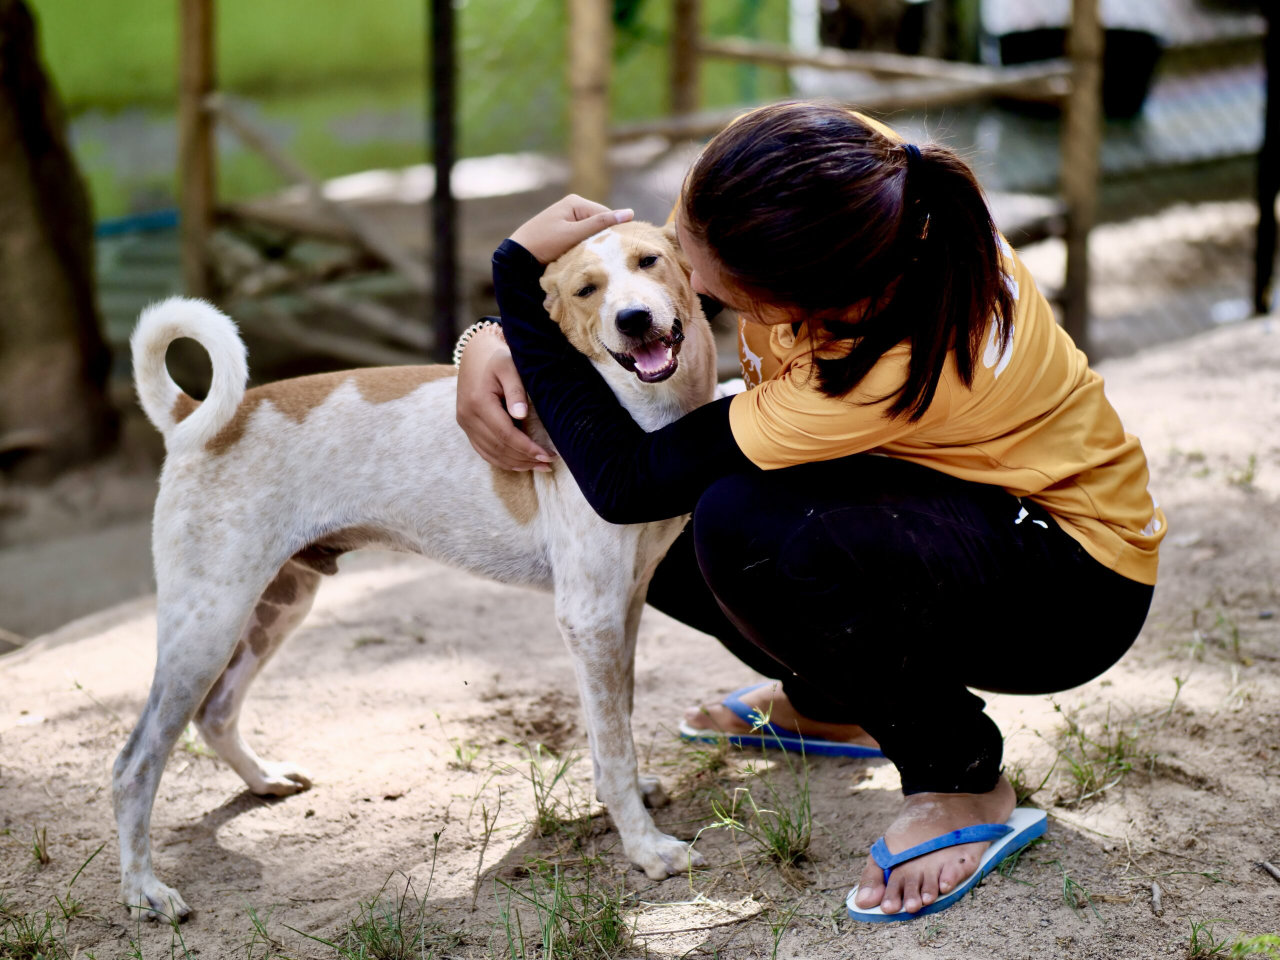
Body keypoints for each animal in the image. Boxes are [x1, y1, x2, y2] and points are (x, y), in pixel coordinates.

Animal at [113, 221, 716, 921]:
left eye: (650, 261)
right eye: (586, 290)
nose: (633, 318)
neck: (632, 411)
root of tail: (193, 416)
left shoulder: (626, 604)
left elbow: (614, 726)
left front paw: (632, 804)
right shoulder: (590, 615)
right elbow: (614, 747)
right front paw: (646, 849)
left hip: (275, 606)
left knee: (215, 713)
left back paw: (263, 781)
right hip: (207, 623)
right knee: (133, 764)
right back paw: (145, 890)